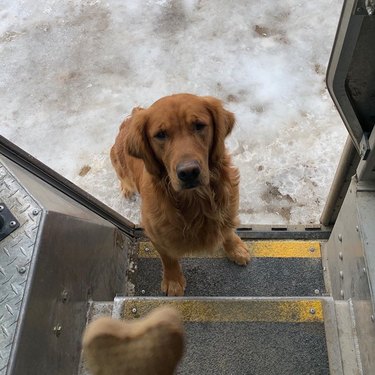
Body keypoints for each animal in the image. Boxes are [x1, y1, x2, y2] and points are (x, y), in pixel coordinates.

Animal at [111, 94, 253, 296]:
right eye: (160, 134)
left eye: (199, 125)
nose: (189, 172)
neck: (196, 200)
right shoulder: (155, 234)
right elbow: (169, 258)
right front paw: (173, 281)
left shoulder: (227, 209)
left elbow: (226, 230)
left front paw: (235, 248)